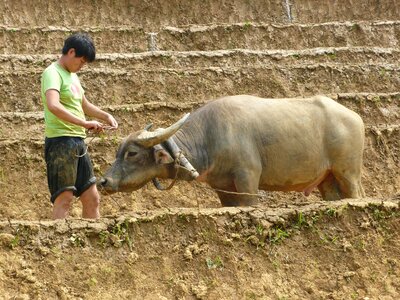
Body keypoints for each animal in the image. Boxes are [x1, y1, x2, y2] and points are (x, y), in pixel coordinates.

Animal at [98, 95, 364, 205]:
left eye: (132, 153)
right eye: (117, 152)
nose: (103, 181)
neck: (210, 136)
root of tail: (356, 118)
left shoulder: (248, 180)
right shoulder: (222, 187)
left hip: (348, 174)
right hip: (327, 180)